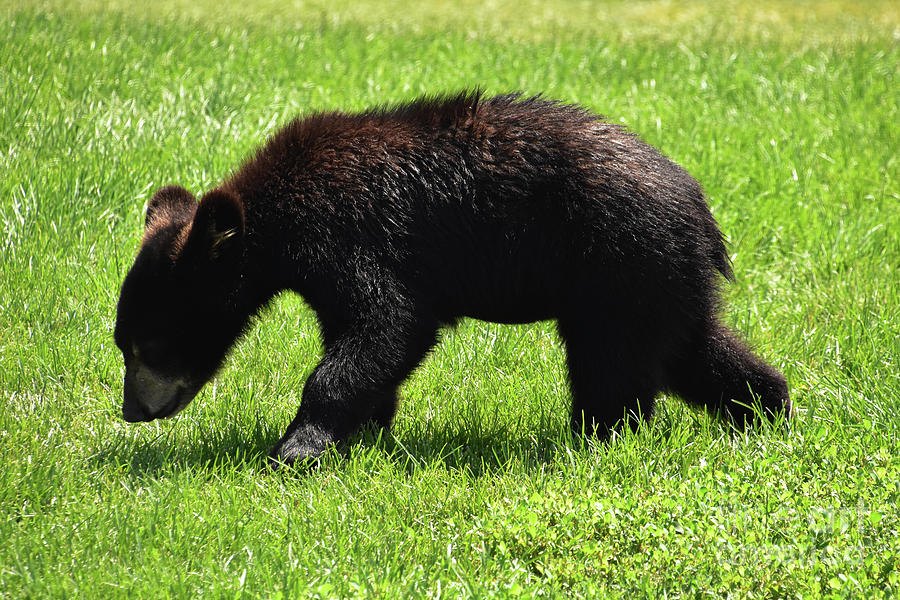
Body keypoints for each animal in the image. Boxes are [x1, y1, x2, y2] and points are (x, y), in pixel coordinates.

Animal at [110, 90, 788, 464]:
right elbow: (362, 337)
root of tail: (701, 211)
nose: (132, 410)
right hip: (656, 280)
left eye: (149, 344)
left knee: (613, 370)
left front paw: (298, 446)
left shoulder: (355, 233)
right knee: (695, 350)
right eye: (124, 343)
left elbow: (390, 323)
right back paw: (767, 409)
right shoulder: (325, 273)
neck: (278, 220)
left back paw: (600, 438)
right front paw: (364, 433)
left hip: (619, 264)